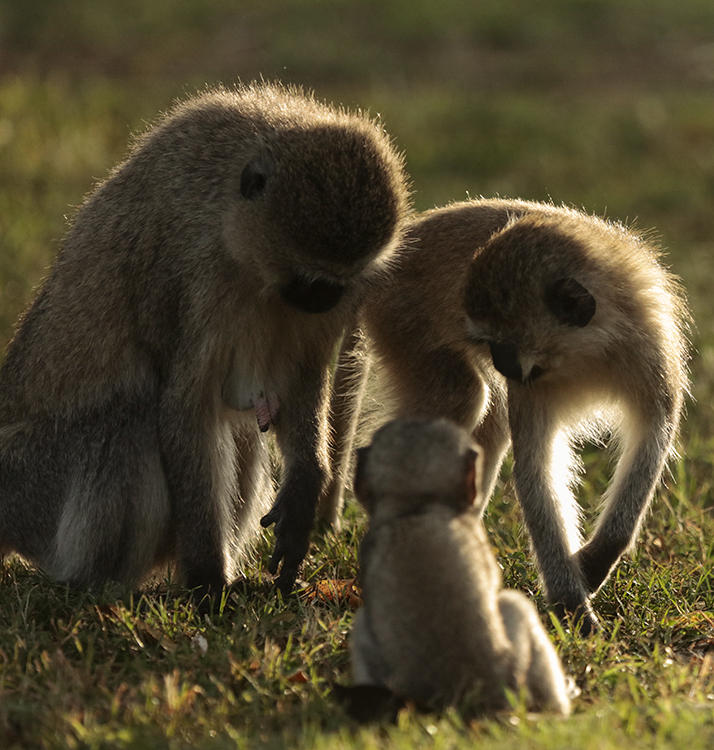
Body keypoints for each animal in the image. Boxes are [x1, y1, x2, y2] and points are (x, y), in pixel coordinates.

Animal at [0, 83, 408, 600]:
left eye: (336, 282)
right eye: (308, 278)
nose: (322, 298)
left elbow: (300, 377)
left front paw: (303, 493)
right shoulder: (192, 274)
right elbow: (184, 407)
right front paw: (207, 580)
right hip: (30, 487)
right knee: (133, 419)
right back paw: (102, 586)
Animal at [326, 200, 688, 636]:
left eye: (502, 343)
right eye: (488, 342)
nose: (502, 364)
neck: (589, 350)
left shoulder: (651, 348)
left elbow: (652, 438)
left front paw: (597, 559)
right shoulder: (532, 384)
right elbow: (536, 470)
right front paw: (571, 606)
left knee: (491, 423)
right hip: (399, 316)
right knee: (462, 397)